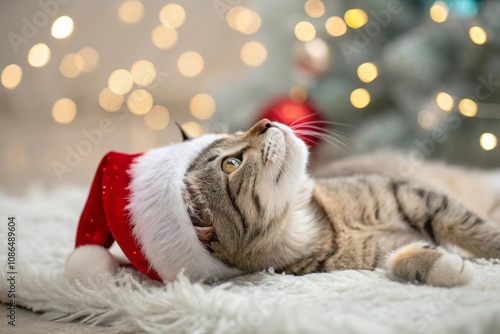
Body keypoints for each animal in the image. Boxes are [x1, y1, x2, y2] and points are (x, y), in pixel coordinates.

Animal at [178, 118, 498, 286]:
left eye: (235, 132)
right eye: (231, 163)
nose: (266, 122)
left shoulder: (413, 195)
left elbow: (474, 228)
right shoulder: (374, 255)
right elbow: (398, 258)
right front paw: (445, 265)